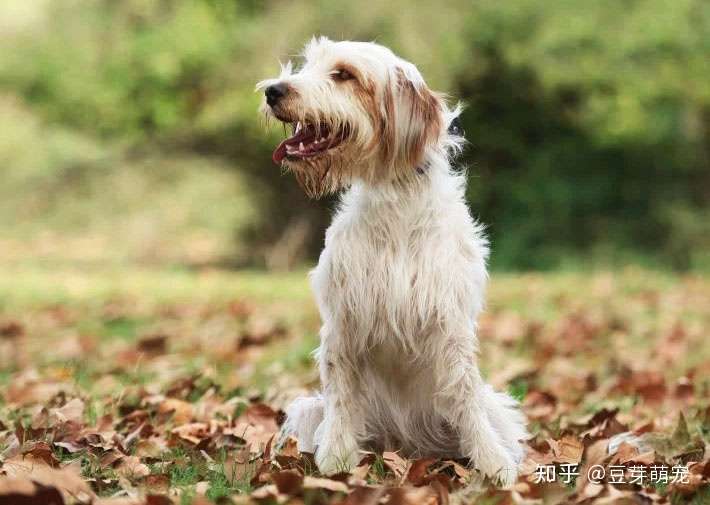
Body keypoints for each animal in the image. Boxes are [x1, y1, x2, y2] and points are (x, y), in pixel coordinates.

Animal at [258, 35, 528, 484]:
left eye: (344, 74)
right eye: (307, 65)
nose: (273, 91)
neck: (396, 204)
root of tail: (407, 443)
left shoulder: (449, 323)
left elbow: (465, 397)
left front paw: (493, 464)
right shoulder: (343, 323)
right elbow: (342, 400)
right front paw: (335, 462)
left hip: (496, 406)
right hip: (311, 408)